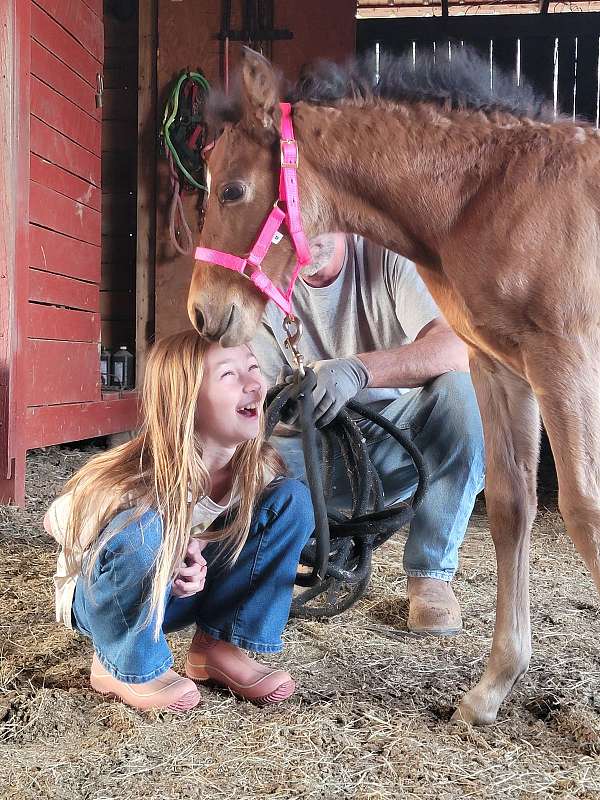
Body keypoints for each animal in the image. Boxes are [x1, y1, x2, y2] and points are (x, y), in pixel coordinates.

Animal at [186, 50, 600, 724]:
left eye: (233, 190)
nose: (202, 312)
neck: (491, 195)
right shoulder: (501, 367)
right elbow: (511, 508)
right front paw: (490, 691)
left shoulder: (566, 360)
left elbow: (584, 510)